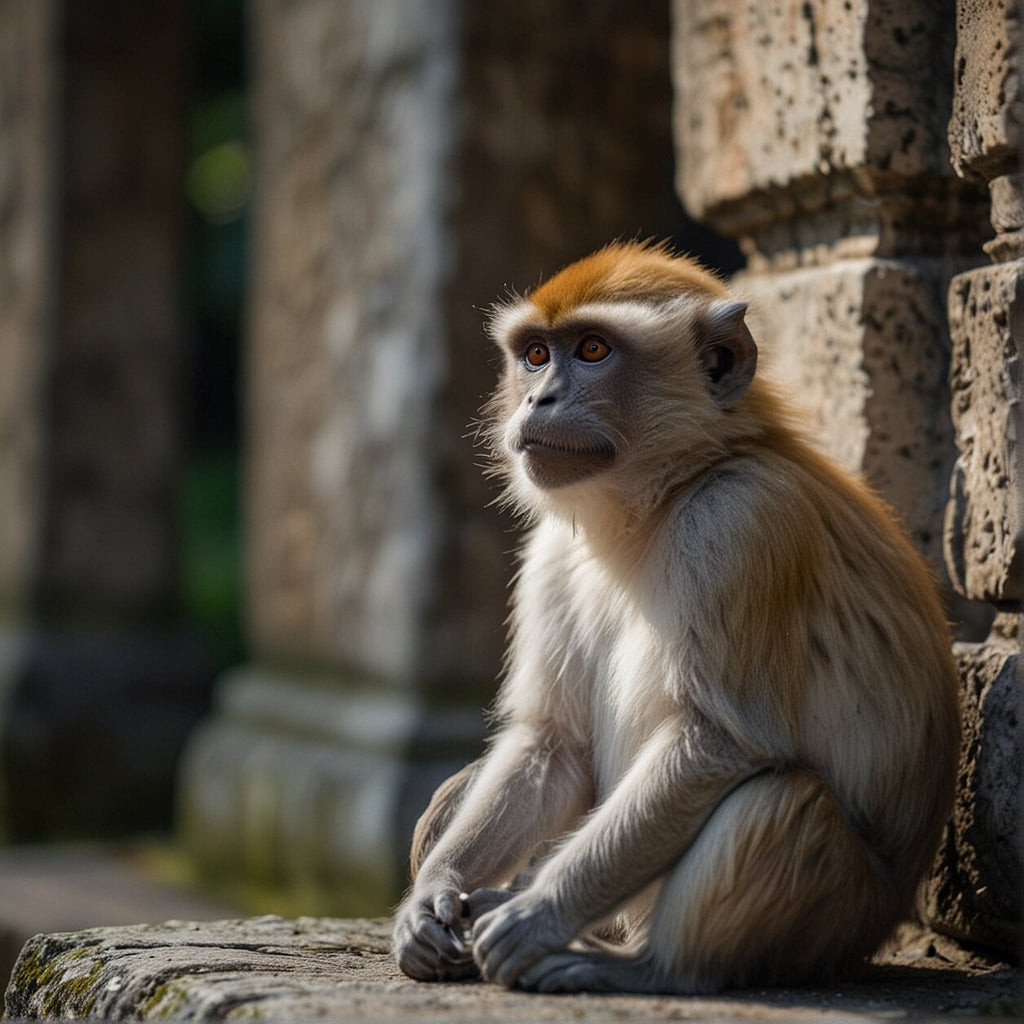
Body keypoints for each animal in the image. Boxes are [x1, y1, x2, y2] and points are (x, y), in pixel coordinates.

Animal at [391, 239, 958, 991]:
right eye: (536, 355)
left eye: (593, 350)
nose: (539, 397)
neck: (657, 502)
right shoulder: (551, 553)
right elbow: (553, 740)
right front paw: (433, 899)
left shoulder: (740, 523)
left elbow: (716, 742)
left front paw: (535, 915)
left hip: (839, 920)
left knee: (781, 799)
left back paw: (644, 967)